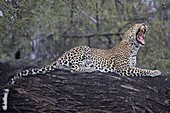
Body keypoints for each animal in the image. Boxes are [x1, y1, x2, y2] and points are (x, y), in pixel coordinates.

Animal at [0, 22, 161, 110]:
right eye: (136, 26)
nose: (144, 24)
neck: (134, 48)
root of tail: (62, 55)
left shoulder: (129, 66)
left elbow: (139, 68)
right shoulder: (124, 69)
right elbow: (141, 69)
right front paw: (155, 72)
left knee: (71, 68)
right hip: (84, 48)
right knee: (73, 69)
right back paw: (91, 68)